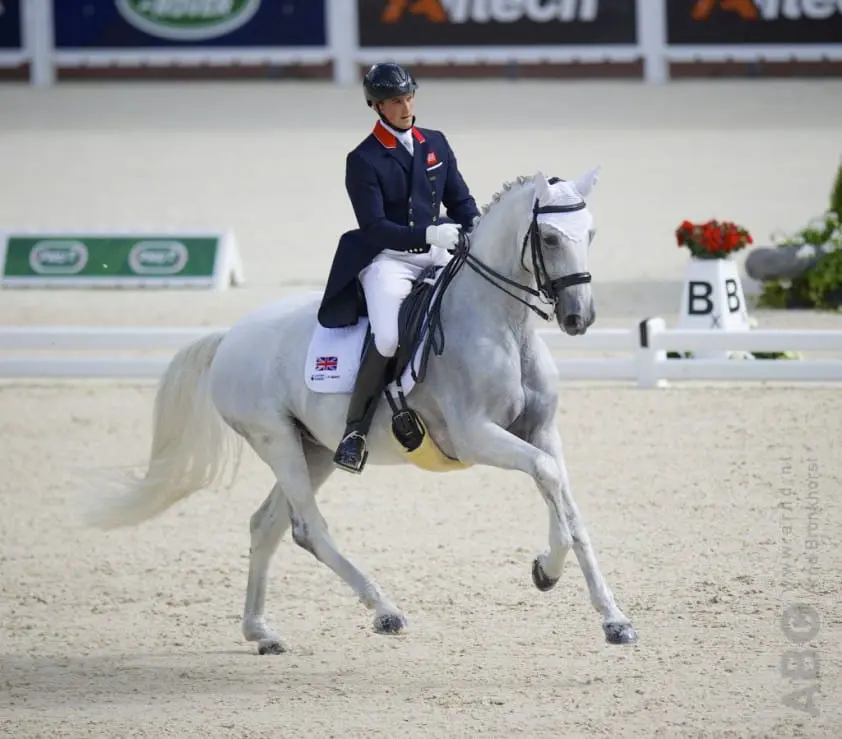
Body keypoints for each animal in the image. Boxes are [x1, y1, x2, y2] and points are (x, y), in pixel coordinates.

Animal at [84, 169, 638, 654]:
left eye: (589, 233)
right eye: (547, 237)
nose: (579, 318)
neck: (503, 325)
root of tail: (228, 338)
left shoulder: (541, 431)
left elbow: (565, 502)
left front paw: (602, 610)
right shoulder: (475, 436)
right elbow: (548, 479)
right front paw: (558, 577)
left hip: (315, 449)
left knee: (267, 524)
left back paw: (261, 633)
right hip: (277, 441)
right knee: (308, 527)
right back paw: (384, 610)